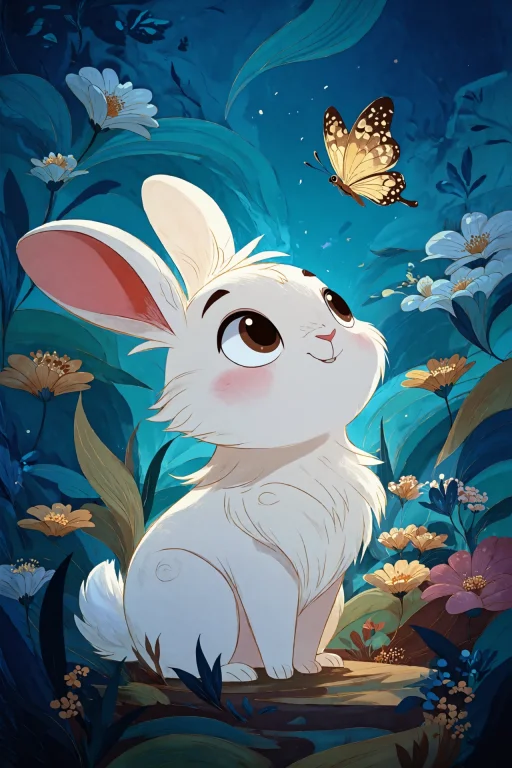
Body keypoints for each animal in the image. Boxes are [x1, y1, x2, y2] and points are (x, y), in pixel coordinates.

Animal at [17, 175, 386, 682]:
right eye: (254, 333)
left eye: (338, 304)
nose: (329, 335)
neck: (294, 455)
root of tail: (138, 646)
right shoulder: (264, 570)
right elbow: (274, 624)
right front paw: (282, 673)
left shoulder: (329, 579)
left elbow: (305, 631)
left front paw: (309, 667)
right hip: (198, 591)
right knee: (181, 666)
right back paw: (236, 674)